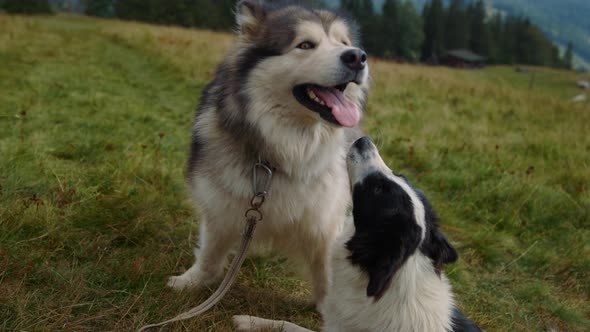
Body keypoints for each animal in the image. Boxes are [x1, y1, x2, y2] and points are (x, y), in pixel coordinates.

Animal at [168, 0, 370, 304]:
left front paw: (328, 306)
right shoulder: (221, 205)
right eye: (305, 44)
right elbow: (210, 254)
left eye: (343, 43)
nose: (357, 57)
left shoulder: (323, 221)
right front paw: (191, 282)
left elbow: (325, 271)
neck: (287, 150)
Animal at [234, 136, 484, 330]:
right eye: (401, 176)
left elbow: (294, 328)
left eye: (379, 189)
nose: (365, 140)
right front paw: (251, 321)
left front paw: (249, 322)